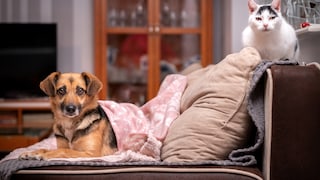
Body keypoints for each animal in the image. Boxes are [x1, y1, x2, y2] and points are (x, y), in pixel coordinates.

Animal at [18, 71, 186, 160]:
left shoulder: (90, 153)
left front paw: (45, 155)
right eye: (61, 90)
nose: (71, 109)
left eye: (80, 90)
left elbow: (63, 151)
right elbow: (49, 148)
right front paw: (32, 152)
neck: (72, 124)